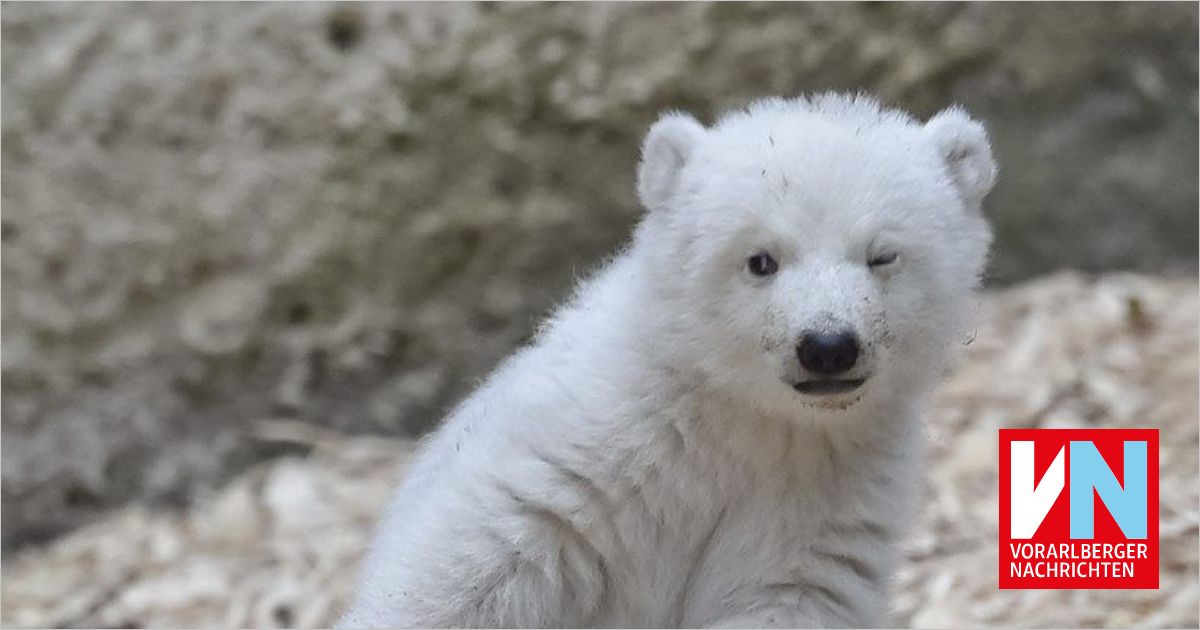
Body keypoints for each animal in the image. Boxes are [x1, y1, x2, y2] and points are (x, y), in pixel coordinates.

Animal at [338, 93, 996, 629]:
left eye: (882, 256)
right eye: (761, 260)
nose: (828, 346)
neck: (737, 410)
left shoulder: (822, 489)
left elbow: (784, 592)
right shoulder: (589, 446)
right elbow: (473, 564)